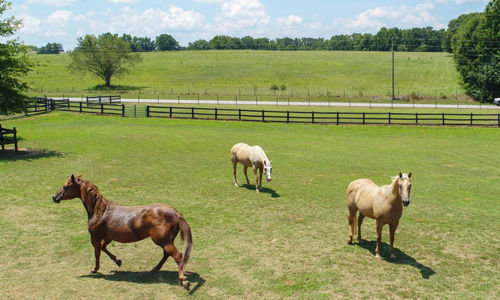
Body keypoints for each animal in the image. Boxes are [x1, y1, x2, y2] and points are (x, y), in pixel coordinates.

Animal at [52, 175, 193, 290]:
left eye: (65, 186)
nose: (54, 197)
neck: (100, 212)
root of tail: (174, 211)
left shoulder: (95, 238)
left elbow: (97, 253)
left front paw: (95, 269)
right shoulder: (108, 237)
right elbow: (103, 248)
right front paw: (118, 261)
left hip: (163, 241)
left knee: (177, 256)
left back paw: (183, 281)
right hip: (166, 241)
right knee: (167, 254)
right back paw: (155, 269)